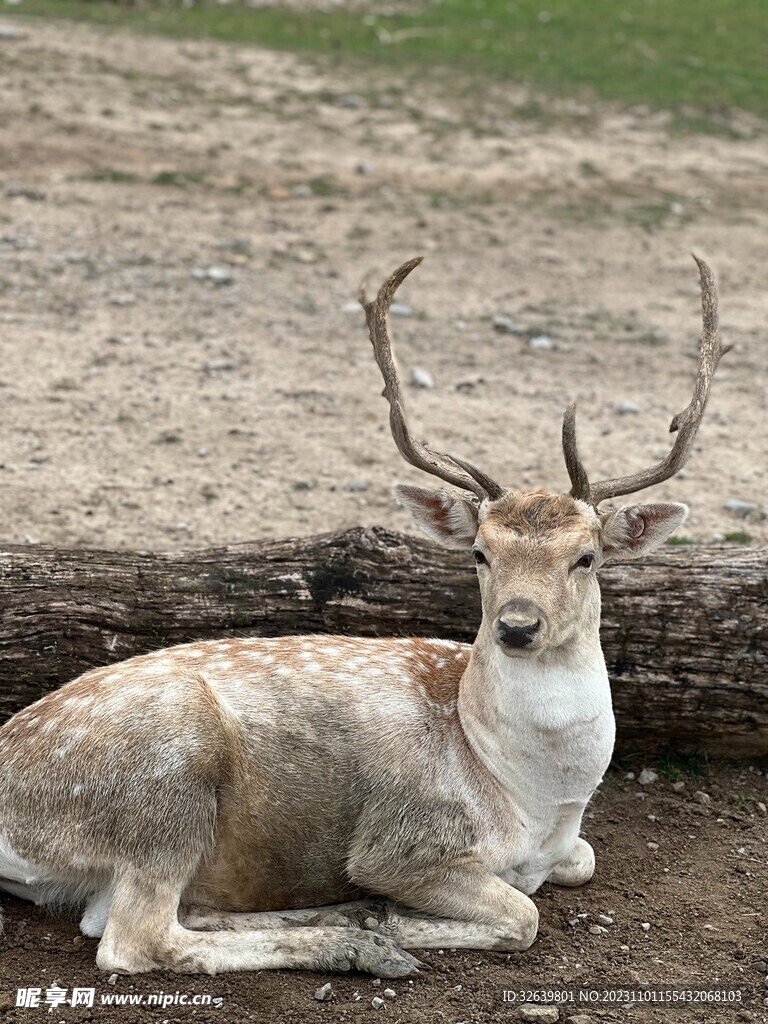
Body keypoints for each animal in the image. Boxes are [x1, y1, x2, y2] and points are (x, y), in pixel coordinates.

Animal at [0, 256, 726, 978]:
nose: (518, 625)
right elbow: (522, 914)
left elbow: (584, 860)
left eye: (588, 556)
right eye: (480, 552)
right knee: (133, 937)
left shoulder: (566, 845)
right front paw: (394, 918)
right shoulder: (403, 841)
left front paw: (382, 914)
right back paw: (365, 942)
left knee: (133, 916)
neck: (535, 796)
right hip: (166, 784)